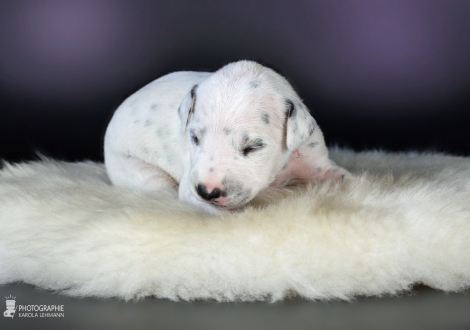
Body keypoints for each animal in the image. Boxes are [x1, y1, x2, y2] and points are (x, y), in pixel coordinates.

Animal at [106, 60, 348, 214]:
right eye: (194, 138)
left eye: (253, 147)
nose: (206, 192)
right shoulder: (191, 189)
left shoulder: (316, 161)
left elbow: (344, 177)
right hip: (140, 173)